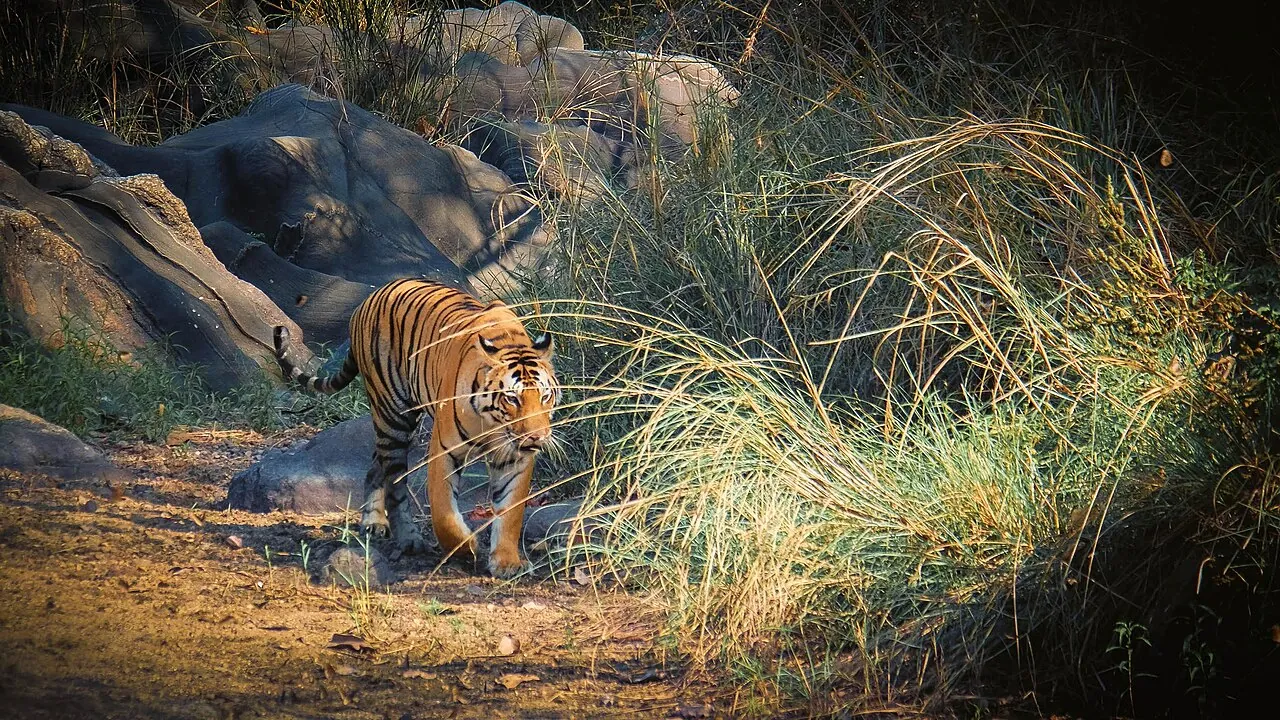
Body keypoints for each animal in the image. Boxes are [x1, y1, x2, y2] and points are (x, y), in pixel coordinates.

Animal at [273, 278, 560, 578]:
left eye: (545, 396)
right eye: (512, 398)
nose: (537, 437)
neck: (493, 424)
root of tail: (369, 298)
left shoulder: (514, 457)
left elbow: (510, 511)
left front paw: (506, 563)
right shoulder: (445, 451)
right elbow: (444, 513)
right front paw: (465, 548)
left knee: (375, 467)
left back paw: (373, 521)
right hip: (393, 417)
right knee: (395, 483)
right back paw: (409, 539)